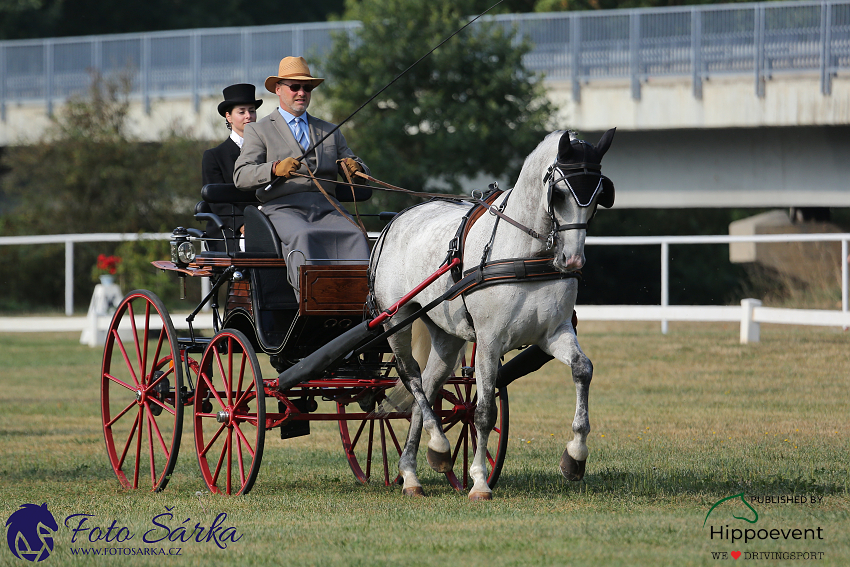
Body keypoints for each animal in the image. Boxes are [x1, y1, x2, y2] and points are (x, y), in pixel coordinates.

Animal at [368, 127, 612, 496]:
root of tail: (395, 221)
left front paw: (575, 456)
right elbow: (484, 411)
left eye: (598, 196)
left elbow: (583, 370)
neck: (524, 252)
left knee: (428, 385)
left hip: (446, 335)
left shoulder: (553, 332)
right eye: (558, 194)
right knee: (412, 378)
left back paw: (413, 471)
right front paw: (480, 481)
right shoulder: (488, 341)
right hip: (396, 318)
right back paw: (437, 446)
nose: (572, 260)